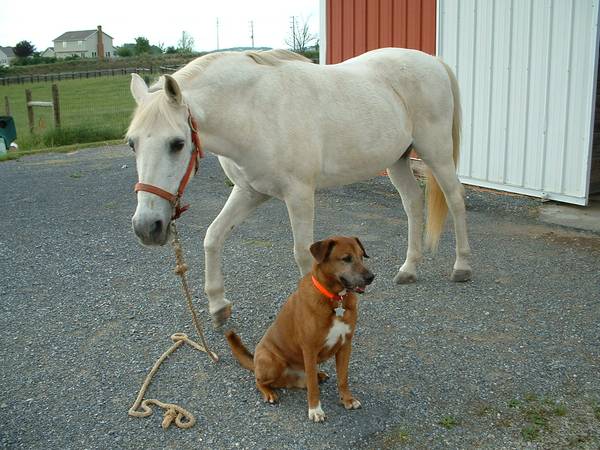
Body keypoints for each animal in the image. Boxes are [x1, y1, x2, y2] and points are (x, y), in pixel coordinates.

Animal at [127, 48, 474, 326]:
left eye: (177, 143)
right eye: (132, 143)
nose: (147, 227)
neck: (254, 111)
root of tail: (433, 61)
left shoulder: (299, 195)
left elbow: (303, 255)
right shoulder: (249, 192)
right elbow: (213, 237)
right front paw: (218, 305)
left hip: (436, 152)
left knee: (455, 199)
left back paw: (462, 266)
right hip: (398, 160)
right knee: (413, 203)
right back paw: (409, 269)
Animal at [226, 236, 376, 422]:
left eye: (362, 256)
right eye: (346, 258)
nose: (371, 277)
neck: (334, 299)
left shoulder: (345, 345)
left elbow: (343, 378)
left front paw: (347, 399)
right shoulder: (310, 349)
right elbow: (313, 386)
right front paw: (315, 410)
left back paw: (319, 375)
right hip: (272, 361)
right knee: (259, 381)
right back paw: (269, 393)